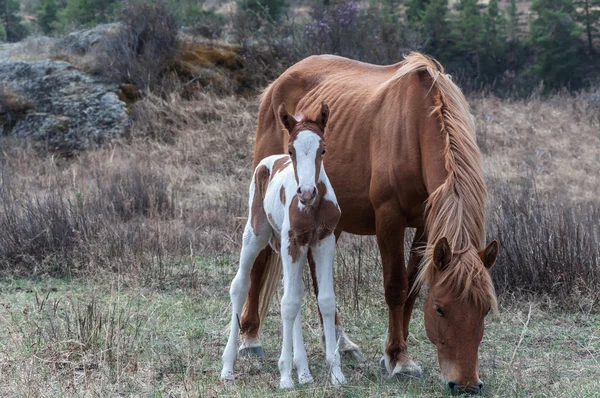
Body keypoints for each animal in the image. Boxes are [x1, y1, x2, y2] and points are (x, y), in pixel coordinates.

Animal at [221, 101, 346, 388]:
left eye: (323, 149)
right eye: (292, 150)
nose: (307, 193)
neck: (313, 208)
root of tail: (268, 161)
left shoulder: (323, 241)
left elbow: (324, 300)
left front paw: (336, 373)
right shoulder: (293, 242)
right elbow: (288, 304)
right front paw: (285, 376)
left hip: (290, 247)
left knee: (295, 292)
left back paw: (305, 371)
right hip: (255, 235)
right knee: (240, 286)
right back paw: (228, 367)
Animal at [238, 52, 496, 394]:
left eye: (486, 308)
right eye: (440, 308)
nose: (466, 385)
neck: (414, 128)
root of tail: (278, 83)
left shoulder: (427, 227)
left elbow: (412, 288)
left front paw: (397, 353)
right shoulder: (389, 220)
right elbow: (396, 287)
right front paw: (398, 360)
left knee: (317, 276)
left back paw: (341, 344)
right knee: (260, 262)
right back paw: (250, 339)